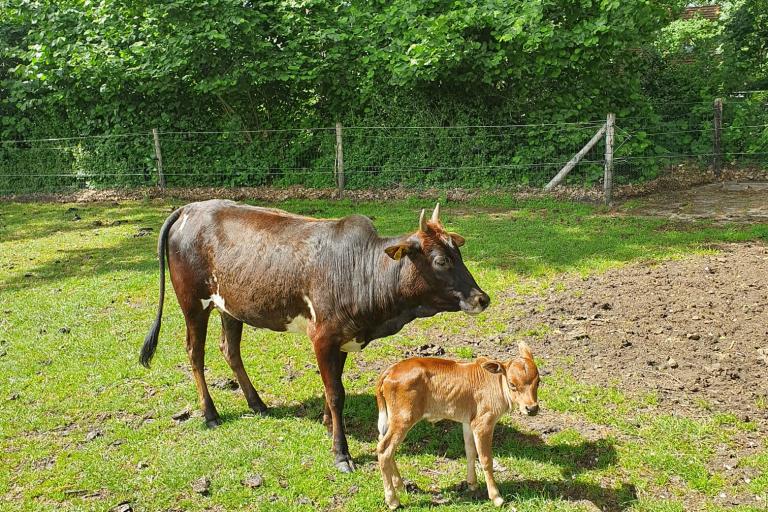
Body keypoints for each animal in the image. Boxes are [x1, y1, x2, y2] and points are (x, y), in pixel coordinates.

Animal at [140, 200, 486, 472]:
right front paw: (341, 453)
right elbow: (335, 393)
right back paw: (210, 413)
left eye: (459, 254)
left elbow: (334, 384)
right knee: (195, 352)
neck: (362, 271)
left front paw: (328, 423)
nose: (482, 298)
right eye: (441, 260)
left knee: (230, 349)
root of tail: (189, 208)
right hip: (192, 302)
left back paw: (257, 403)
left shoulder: (343, 336)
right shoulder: (322, 336)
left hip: (231, 306)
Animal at [376, 342, 536, 510]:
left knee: (383, 442)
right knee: (384, 449)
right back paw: (393, 500)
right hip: (404, 418)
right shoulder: (483, 423)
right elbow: (486, 459)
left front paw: (472, 483)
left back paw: (400, 485)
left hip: (392, 419)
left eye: (538, 381)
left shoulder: (468, 421)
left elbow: (470, 451)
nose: (532, 408)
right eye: (512, 384)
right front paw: (496, 497)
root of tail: (391, 370)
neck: (496, 384)